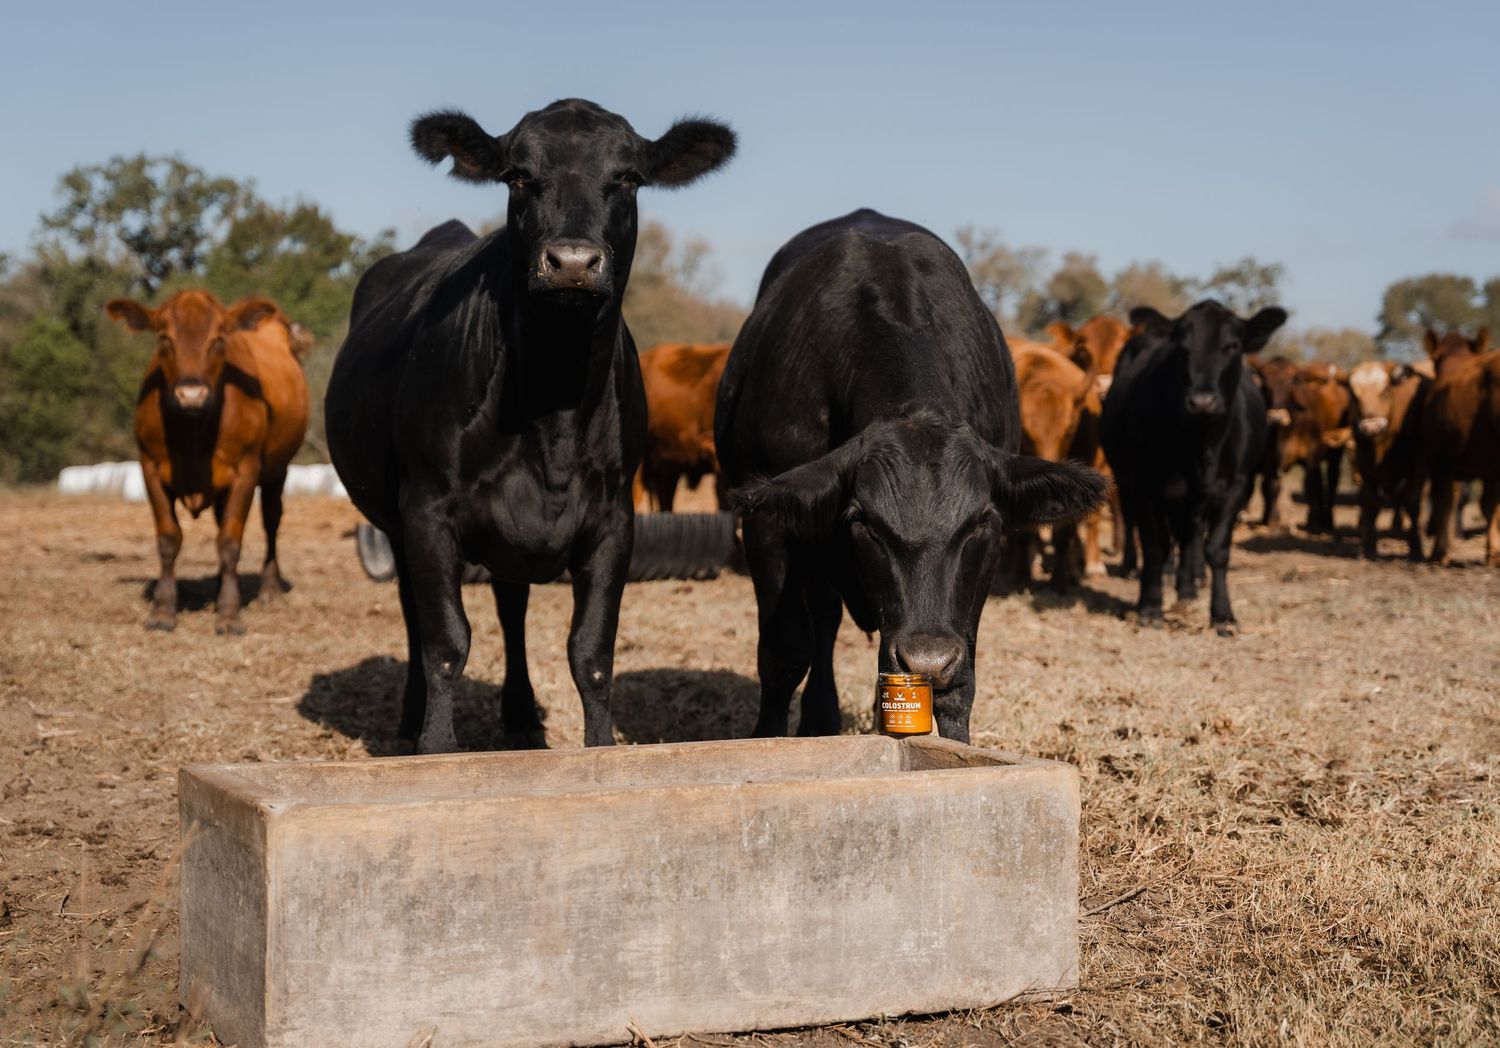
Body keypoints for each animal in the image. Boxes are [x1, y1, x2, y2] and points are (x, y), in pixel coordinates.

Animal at [105, 290, 310, 634]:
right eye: (165, 338)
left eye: (218, 339)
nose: (191, 394)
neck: (194, 432)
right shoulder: (150, 468)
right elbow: (168, 539)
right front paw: (163, 610)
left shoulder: (245, 472)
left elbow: (230, 541)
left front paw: (228, 613)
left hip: (278, 470)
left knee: (271, 521)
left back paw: (268, 588)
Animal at [1102, 300, 1286, 635]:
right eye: (1181, 348)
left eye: (1232, 346)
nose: (1202, 401)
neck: (1200, 446)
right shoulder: (1146, 485)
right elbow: (1154, 545)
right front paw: (1150, 608)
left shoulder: (1236, 486)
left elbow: (1217, 549)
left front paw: (1223, 614)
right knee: (1137, 524)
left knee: (1189, 535)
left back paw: (1188, 588)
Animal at [1347, 360, 1429, 560]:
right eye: (1354, 395)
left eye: (1384, 391)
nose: (1371, 426)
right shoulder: (1365, 470)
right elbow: (1371, 505)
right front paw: (1369, 549)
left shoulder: (1417, 469)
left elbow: (1412, 505)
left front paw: (1416, 548)